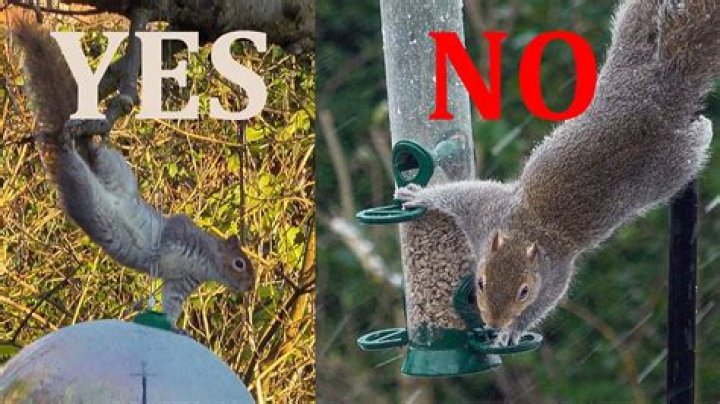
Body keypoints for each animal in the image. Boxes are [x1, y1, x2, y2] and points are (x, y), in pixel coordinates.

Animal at [12, 19, 254, 325]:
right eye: (239, 263)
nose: (250, 287)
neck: (208, 262)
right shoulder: (182, 232)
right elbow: (169, 233)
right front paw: (155, 252)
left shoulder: (181, 282)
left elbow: (171, 304)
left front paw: (175, 327)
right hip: (82, 187)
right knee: (80, 159)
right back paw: (74, 140)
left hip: (118, 172)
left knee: (97, 157)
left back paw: (95, 139)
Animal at [396, 0, 718, 346]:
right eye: (480, 283)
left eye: (524, 292)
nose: (494, 323)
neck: (522, 230)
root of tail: (659, 95)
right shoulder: (483, 211)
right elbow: (457, 194)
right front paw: (421, 195)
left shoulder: (554, 276)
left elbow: (543, 305)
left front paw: (511, 332)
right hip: (630, 49)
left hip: (676, 163)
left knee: (698, 141)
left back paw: (705, 126)